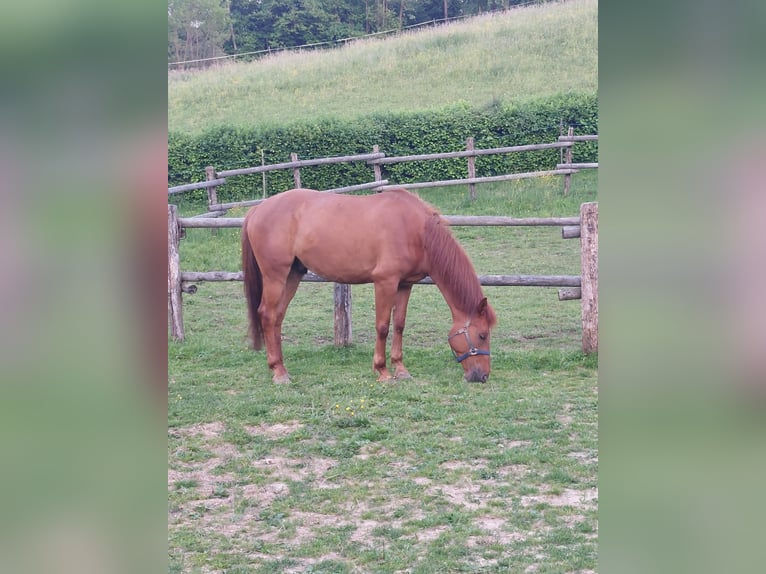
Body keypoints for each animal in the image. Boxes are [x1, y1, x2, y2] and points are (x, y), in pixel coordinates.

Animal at [243, 189, 500, 384]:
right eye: (482, 335)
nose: (482, 376)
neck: (416, 230)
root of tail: (258, 209)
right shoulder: (385, 282)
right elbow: (382, 327)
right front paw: (382, 371)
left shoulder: (405, 284)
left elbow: (399, 325)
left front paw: (401, 369)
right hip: (275, 276)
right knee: (267, 314)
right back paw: (279, 373)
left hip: (293, 275)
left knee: (277, 317)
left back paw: (279, 366)